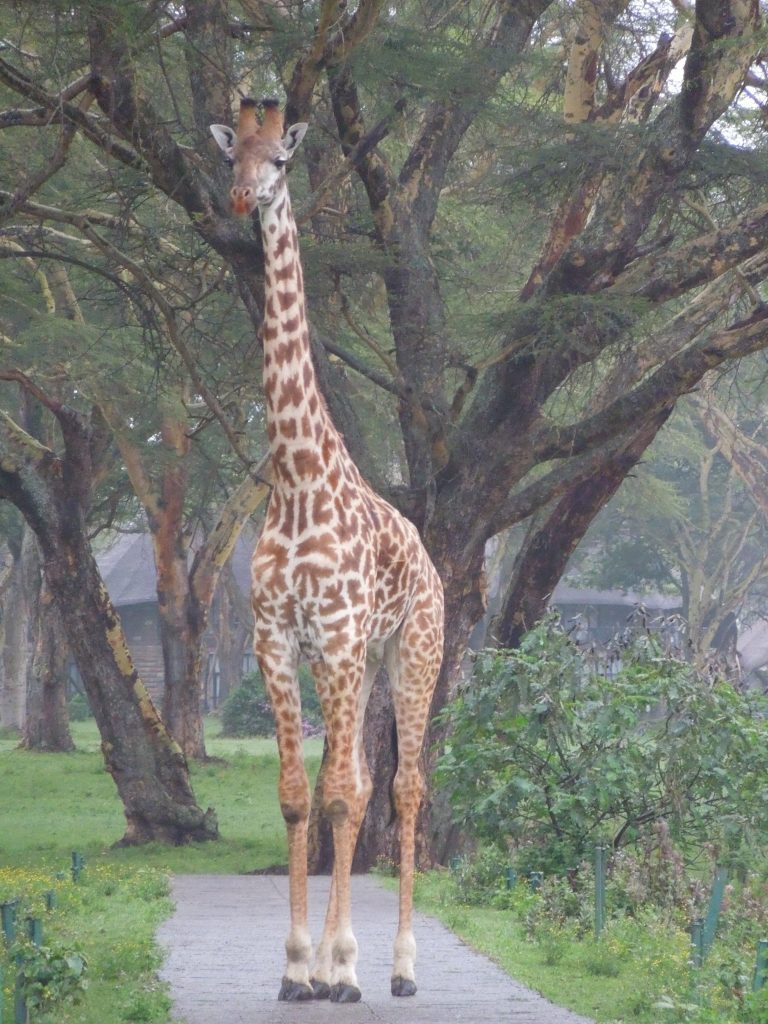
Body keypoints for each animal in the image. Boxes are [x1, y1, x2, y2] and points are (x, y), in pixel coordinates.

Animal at [210, 98, 444, 1004]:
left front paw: (338, 967)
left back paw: (401, 967)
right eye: (230, 157)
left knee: (404, 787)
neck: (297, 477)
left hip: (412, 651)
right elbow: (297, 795)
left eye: (279, 158)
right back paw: (351, 961)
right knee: (371, 780)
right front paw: (297, 966)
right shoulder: (277, 640)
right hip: (369, 660)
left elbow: (342, 798)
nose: (243, 199)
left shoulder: (338, 639)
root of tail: (434, 561)